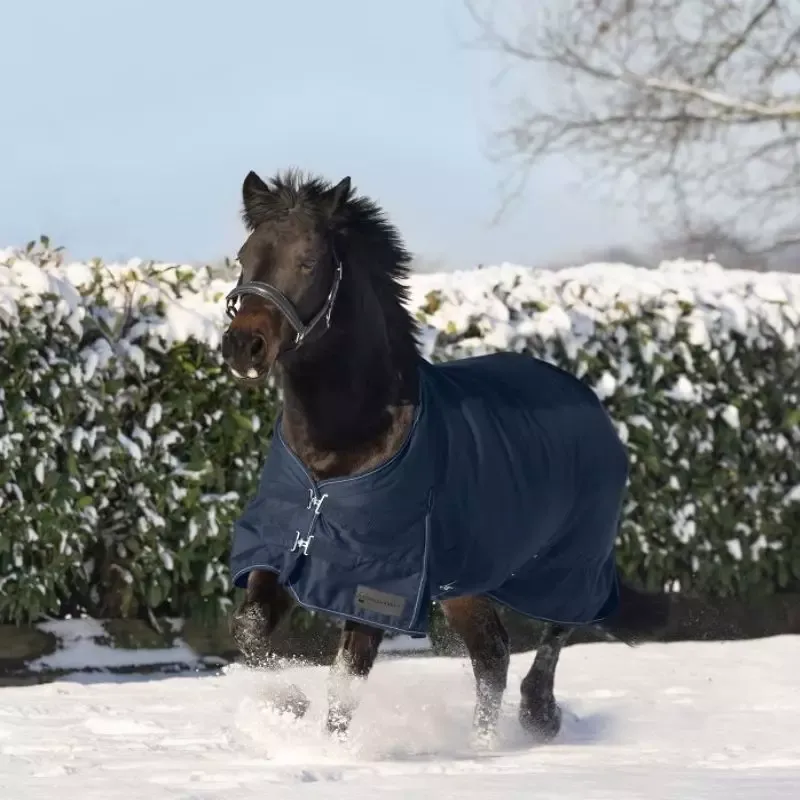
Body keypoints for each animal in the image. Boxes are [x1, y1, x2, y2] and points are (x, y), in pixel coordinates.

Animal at [221, 168, 670, 743]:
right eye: (244, 255)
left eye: (309, 261)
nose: (243, 346)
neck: (338, 454)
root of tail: (592, 403)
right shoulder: (280, 552)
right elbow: (251, 631)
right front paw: (286, 706)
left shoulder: (380, 582)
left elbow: (346, 679)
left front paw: (323, 746)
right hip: (468, 579)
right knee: (491, 652)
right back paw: (483, 745)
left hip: (570, 562)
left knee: (555, 631)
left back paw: (538, 716)